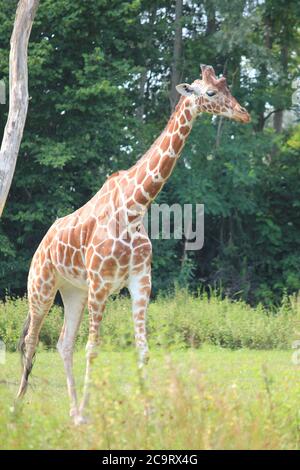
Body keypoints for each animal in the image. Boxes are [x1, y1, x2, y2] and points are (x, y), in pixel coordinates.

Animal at [17, 64, 251, 424]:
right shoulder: (101, 283)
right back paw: (19, 406)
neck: (134, 207)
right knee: (31, 340)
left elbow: (142, 348)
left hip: (73, 291)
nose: (244, 113)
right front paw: (93, 412)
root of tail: (42, 245)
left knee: (62, 343)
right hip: (41, 286)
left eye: (229, 89)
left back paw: (73, 411)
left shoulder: (141, 280)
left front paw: (149, 412)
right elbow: (93, 348)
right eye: (211, 92)